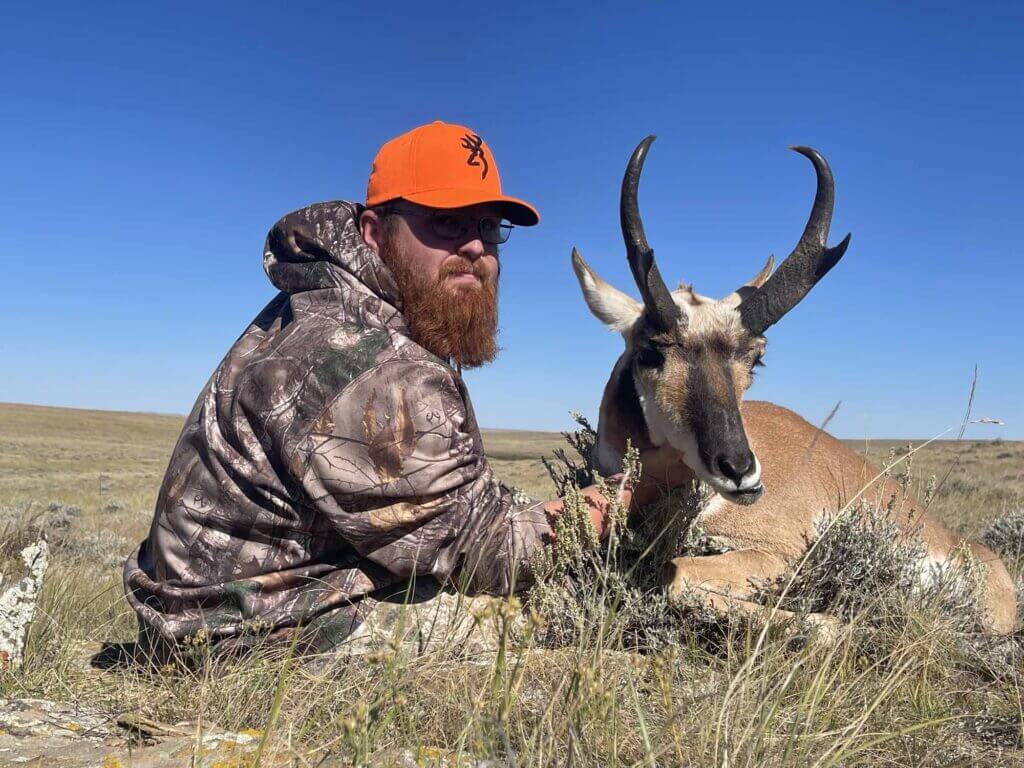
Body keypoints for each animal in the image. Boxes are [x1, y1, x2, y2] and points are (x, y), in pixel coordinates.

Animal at [572, 137, 1017, 635]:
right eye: (651, 350)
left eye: (756, 357)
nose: (741, 471)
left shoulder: (778, 552)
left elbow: (677, 573)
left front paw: (838, 626)